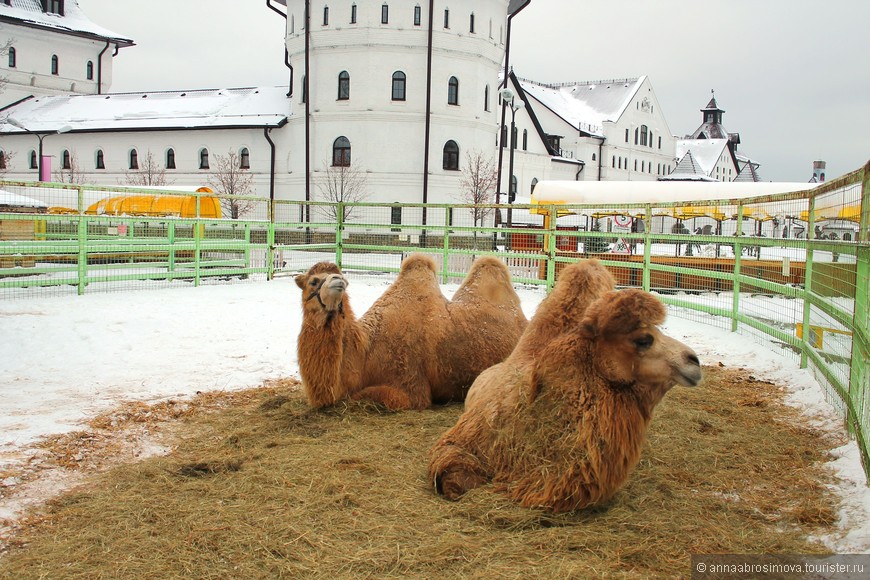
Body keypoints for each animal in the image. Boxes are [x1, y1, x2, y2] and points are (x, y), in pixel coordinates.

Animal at [296, 255, 528, 412]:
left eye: (343, 277)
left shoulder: (411, 388)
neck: (366, 351)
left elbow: (358, 396)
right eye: (313, 281)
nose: (338, 281)